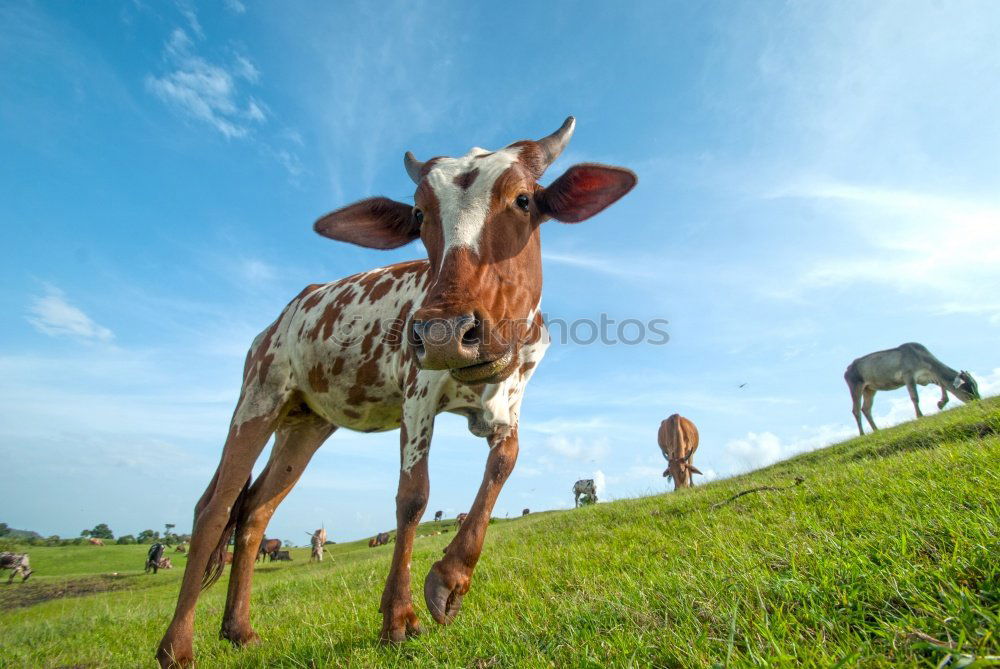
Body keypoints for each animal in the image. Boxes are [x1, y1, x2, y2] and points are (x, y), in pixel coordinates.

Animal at [157, 117, 636, 664]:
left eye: (523, 200)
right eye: (419, 213)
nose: (446, 333)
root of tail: (282, 316)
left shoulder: (511, 400)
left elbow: (503, 464)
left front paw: (449, 582)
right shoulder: (417, 394)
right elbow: (413, 497)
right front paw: (399, 618)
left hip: (305, 425)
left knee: (256, 511)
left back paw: (239, 629)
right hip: (258, 397)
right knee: (216, 507)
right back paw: (177, 647)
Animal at [840, 342, 980, 436]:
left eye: (975, 384)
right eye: (967, 387)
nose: (977, 400)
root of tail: (847, 369)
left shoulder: (929, 378)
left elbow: (943, 386)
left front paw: (941, 403)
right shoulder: (909, 376)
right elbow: (914, 397)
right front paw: (920, 415)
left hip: (870, 389)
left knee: (866, 409)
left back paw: (876, 429)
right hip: (856, 386)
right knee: (856, 410)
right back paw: (862, 433)